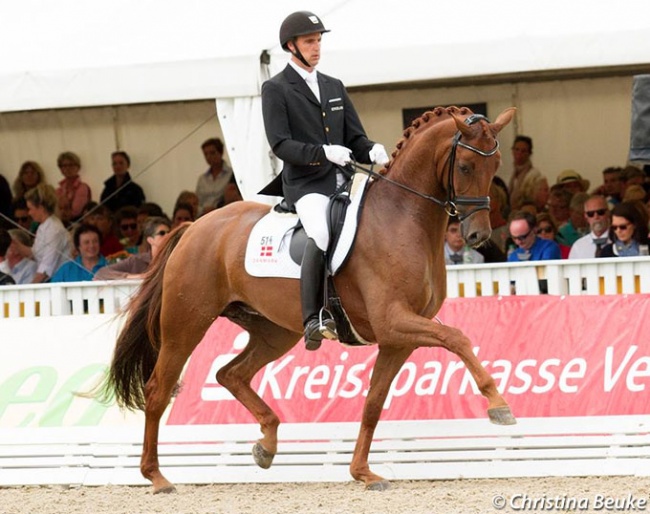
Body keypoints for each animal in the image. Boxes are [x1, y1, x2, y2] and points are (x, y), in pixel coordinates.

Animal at [104, 105, 512, 492]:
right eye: (465, 165)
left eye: (496, 165)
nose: (478, 236)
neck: (401, 217)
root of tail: (193, 227)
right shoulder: (393, 320)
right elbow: (457, 338)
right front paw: (498, 404)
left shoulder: (398, 339)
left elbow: (373, 403)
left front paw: (363, 473)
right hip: (186, 324)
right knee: (158, 390)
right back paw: (157, 477)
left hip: (274, 332)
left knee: (230, 373)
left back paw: (266, 444)